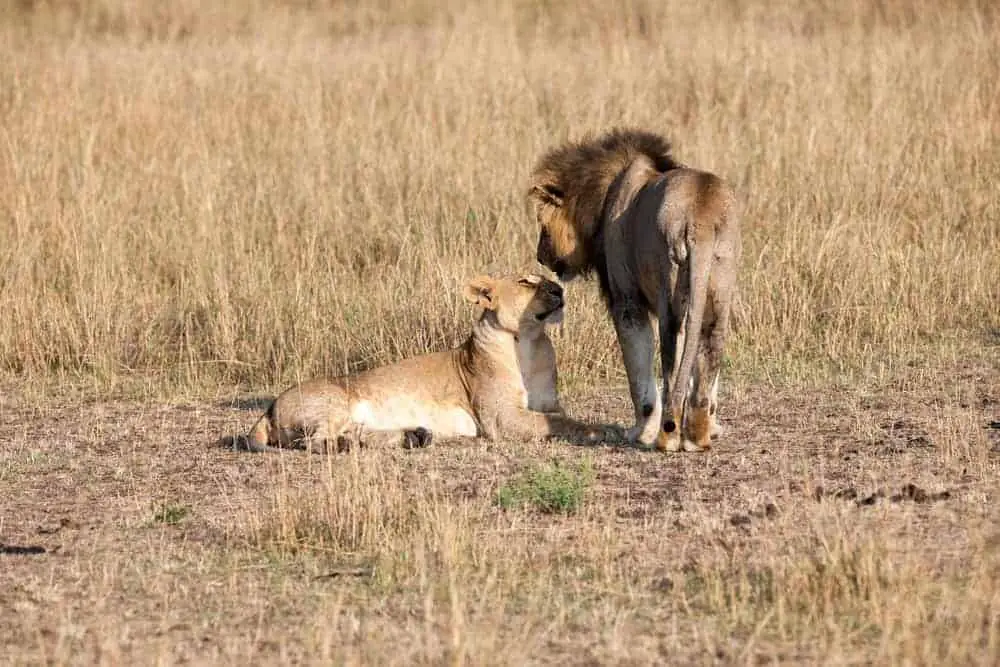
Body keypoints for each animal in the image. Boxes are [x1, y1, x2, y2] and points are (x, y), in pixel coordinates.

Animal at [236, 272, 608, 454]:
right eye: (525, 282)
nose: (559, 289)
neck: (530, 342)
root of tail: (269, 408)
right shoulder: (501, 419)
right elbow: (560, 423)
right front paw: (601, 430)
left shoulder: (548, 403)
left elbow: (559, 416)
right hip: (333, 402)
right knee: (313, 442)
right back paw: (347, 446)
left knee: (355, 432)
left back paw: (414, 436)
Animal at [528, 129, 740, 454]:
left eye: (542, 224)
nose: (540, 256)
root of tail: (700, 220)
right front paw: (715, 428)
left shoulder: (627, 301)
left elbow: (638, 372)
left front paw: (640, 432)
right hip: (717, 283)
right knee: (710, 347)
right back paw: (697, 436)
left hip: (669, 294)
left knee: (671, 361)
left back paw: (668, 436)